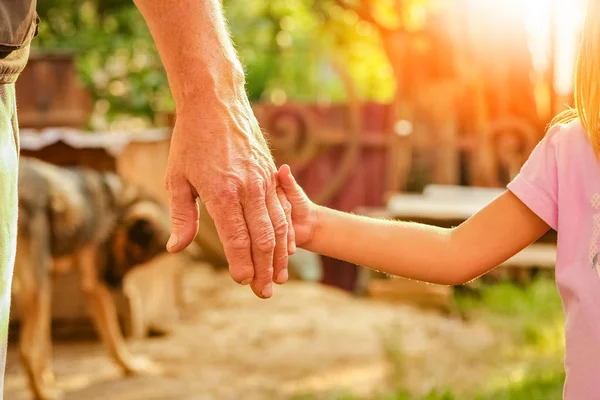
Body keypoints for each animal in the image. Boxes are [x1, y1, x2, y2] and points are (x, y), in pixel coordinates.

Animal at [12, 159, 173, 400]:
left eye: (140, 263)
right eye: (131, 254)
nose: (115, 284)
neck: (116, 203)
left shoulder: (49, 279)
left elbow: (45, 341)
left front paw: (47, 375)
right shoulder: (93, 286)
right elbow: (114, 338)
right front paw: (129, 366)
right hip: (35, 288)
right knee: (26, 350)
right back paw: (43, 394)